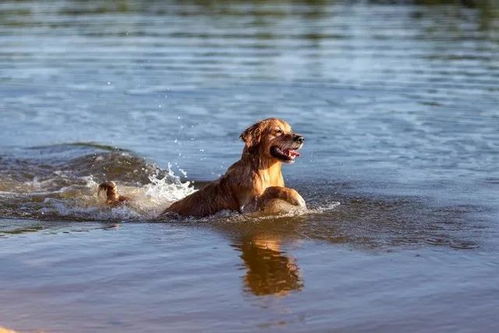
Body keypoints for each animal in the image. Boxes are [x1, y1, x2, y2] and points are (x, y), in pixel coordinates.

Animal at [98, 118, 304, 217]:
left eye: (291, 130)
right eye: (278, 131)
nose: (300, 138)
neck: (265, 170)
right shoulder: (247, 208)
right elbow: (272, 190)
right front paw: (296, 198)